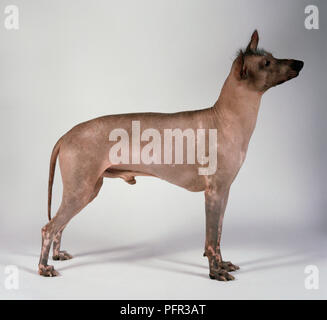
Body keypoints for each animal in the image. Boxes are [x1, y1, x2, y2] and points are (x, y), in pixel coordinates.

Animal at [39, 30, 304, 280]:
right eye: (266, 63)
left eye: (272, 56)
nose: (299, 63)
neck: (224, 117)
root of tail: (66, 135)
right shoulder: (214, 192)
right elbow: (210, 239)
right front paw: (215, 272)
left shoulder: (225, 192)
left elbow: (218, 236)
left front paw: (222, 264)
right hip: (80, 189)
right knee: (49, 228)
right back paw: (44, 268)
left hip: (88, 189)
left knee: (60, 226)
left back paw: (57, 255)